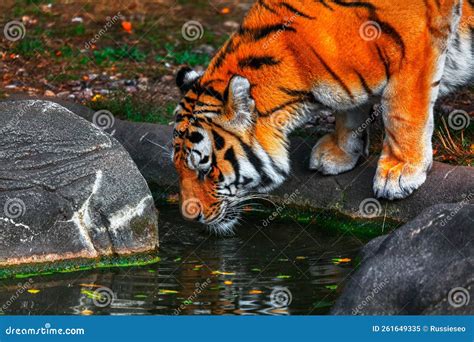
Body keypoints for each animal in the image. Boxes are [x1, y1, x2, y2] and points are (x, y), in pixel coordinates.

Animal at [172, 0, 472, 232]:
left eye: (206, 170)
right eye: (178, 168)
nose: (189, 217)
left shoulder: (415, 44)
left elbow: (403, 113)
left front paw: (400, 172)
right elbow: (349, 111)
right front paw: (340, 152)